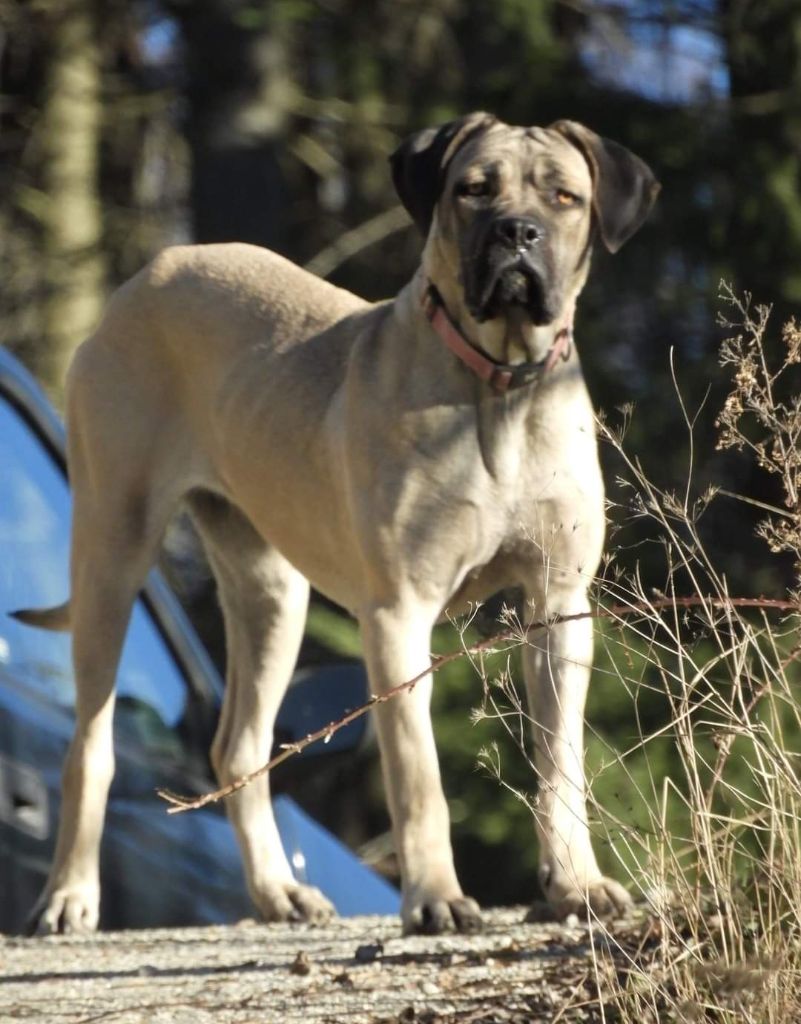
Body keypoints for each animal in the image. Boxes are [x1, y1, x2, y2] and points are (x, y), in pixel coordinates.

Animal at [17, 112, 659, 937]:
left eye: (563, 197)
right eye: (472, 190)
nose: (516, 233)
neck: (498, 390)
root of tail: (151, 271)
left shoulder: (558, 607)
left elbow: (560, 765)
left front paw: (577, 883)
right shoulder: (397, 614)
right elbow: (418, 776)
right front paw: (435, 899)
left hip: (271, 594)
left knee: (239, 746)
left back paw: (277, 893)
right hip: (111, 551)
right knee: (90, 744)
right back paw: (69, 895)